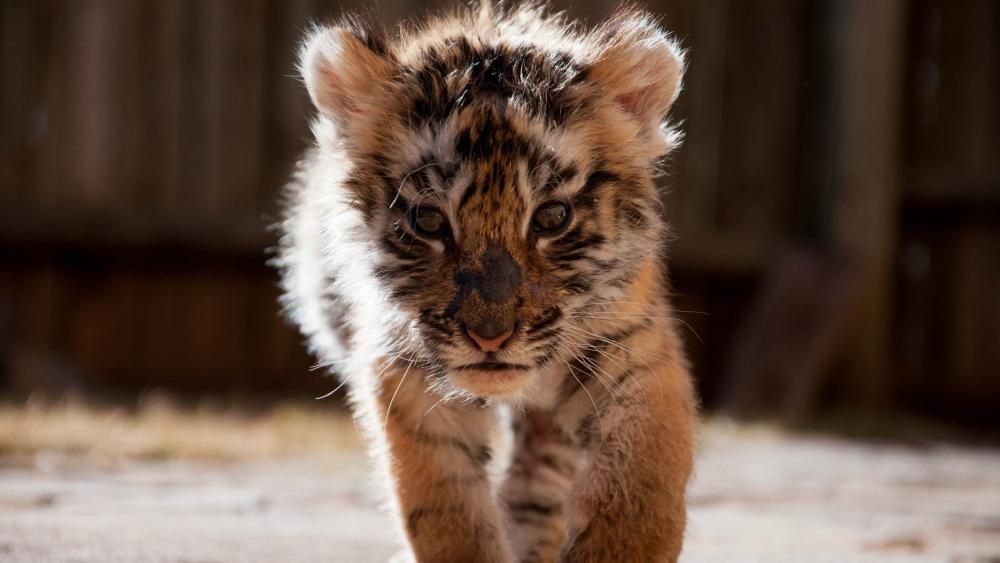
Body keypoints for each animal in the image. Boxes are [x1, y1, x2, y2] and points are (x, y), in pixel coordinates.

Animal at [274, 2, 696, 560]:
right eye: (430, 222)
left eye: (552, 218)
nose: (490, 338)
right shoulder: (402, 370)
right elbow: (447, 512)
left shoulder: (630, 349)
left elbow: (638, 490)